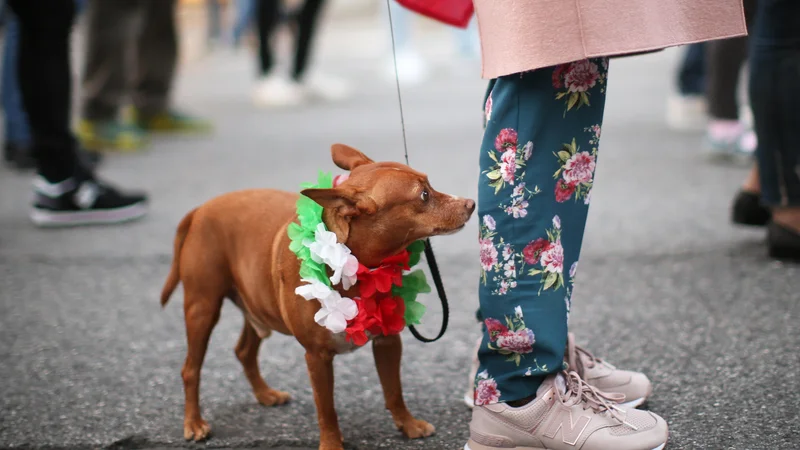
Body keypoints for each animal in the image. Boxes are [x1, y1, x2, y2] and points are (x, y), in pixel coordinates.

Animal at [161, 145, 476, 450]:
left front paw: (408, 425)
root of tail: (201, 208)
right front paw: (332, 443)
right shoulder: (317, 357)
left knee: (244, 351)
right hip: (202, 309)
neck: (357, 266)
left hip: (256, 304)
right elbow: (326, 409)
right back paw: (194, 423)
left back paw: (264, 394)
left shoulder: (388, 341)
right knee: (190, 369)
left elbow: (394, 390)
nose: (471, 204)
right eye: (424, 195)